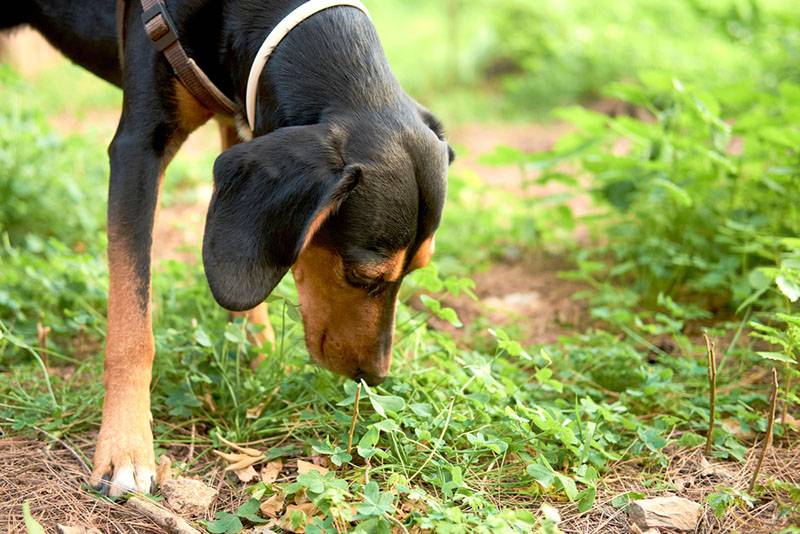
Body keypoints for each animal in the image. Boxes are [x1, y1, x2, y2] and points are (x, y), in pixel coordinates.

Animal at [3, 0, 454, 498]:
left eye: (416, 269)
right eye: (361, 276)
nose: (373, 376)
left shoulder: (244, 123)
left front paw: (260, 356)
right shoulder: (139, 147)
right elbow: (131, 324)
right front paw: (126, 448)